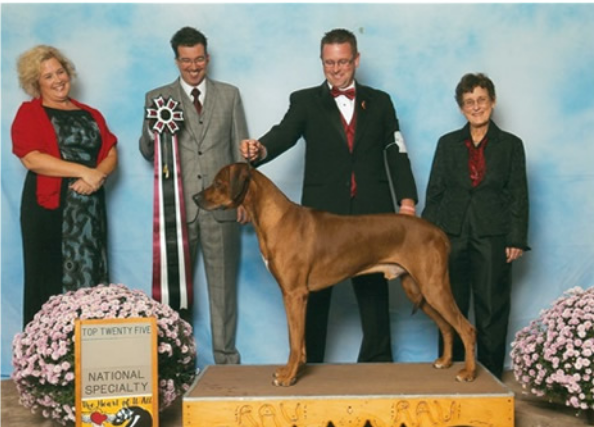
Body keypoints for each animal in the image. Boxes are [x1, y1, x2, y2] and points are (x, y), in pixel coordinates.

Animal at [194, 164, 476, 388]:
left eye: (218, 183)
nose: (195, 197)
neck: (276, 218)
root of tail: (439, 232)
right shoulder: (292, 296)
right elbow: (296, 339)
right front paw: (293, 370)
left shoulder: (295, 294)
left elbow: (294, 340)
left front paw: (288, 377)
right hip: (418, 289)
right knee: (447, 326)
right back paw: (445, 361)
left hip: (433, 287)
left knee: (466, 328)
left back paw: (469, 372)